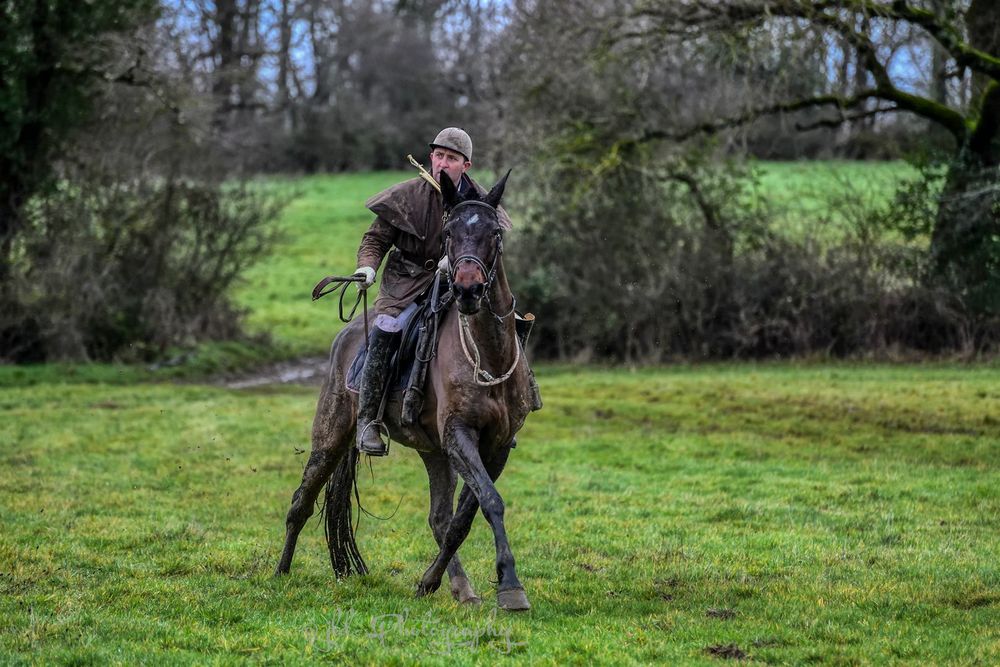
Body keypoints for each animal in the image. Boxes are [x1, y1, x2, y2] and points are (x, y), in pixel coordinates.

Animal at [274, 171, 540, 612]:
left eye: (495, 233)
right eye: (449, 232)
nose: (467, 290)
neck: (487, 352)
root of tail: (348, 334)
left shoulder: (496, 445)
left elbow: (464, 517)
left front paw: (432, 582)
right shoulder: (460, 435)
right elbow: (490, 502)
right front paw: (511, 586)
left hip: (433, 451)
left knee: (439, 517)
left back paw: (458, 587)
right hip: (331, 435)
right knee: (301, 501)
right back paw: (280, 572)